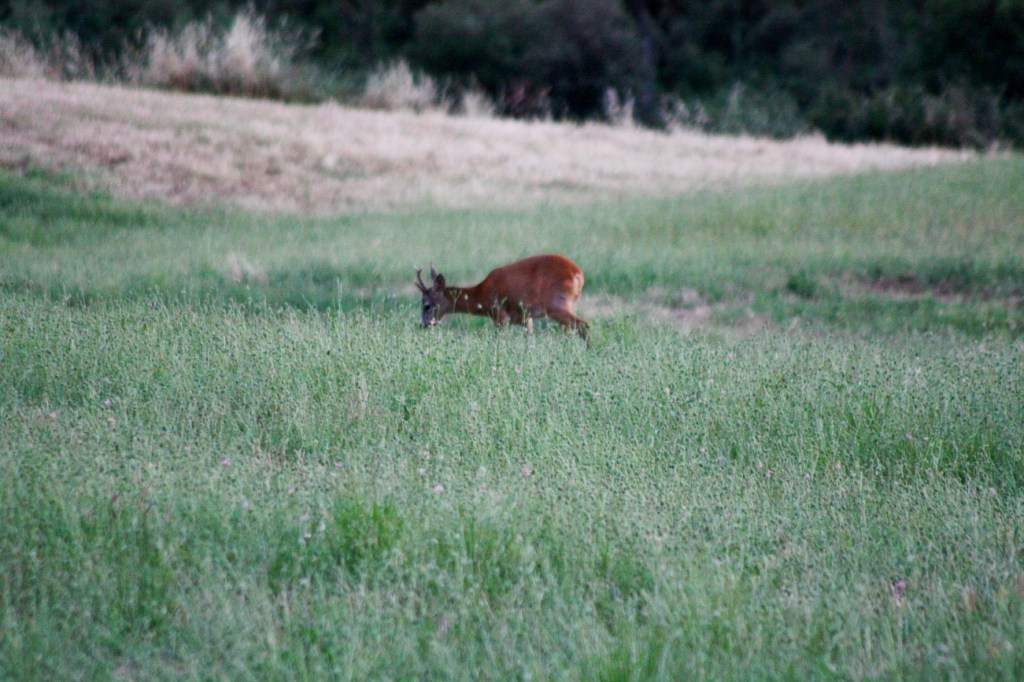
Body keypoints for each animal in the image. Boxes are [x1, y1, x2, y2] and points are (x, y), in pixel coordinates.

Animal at [415, 254, 589, 341]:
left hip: (556, 303)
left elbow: (500, 339)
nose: (424, 324)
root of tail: (578, 273)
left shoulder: (499, 313)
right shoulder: (525, 318)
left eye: (426, 305)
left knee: (583, 325)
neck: (482, 294)